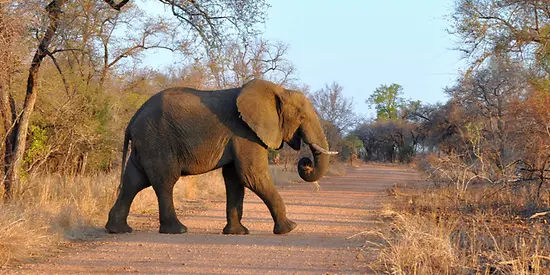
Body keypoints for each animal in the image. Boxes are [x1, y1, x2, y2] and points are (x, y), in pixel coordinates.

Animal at [103, 78, 336, 236]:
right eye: (302, 117)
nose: (305, 163)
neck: (277, 90)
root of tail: (132, 121)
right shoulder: (245, 133)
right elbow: (253, 176)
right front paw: (290, 228)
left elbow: (235, 179)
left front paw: (238, 233)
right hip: (157, 140)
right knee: (164, 181)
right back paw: (178, 230)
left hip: (146, 143)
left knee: (134, 180)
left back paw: (117, 230)